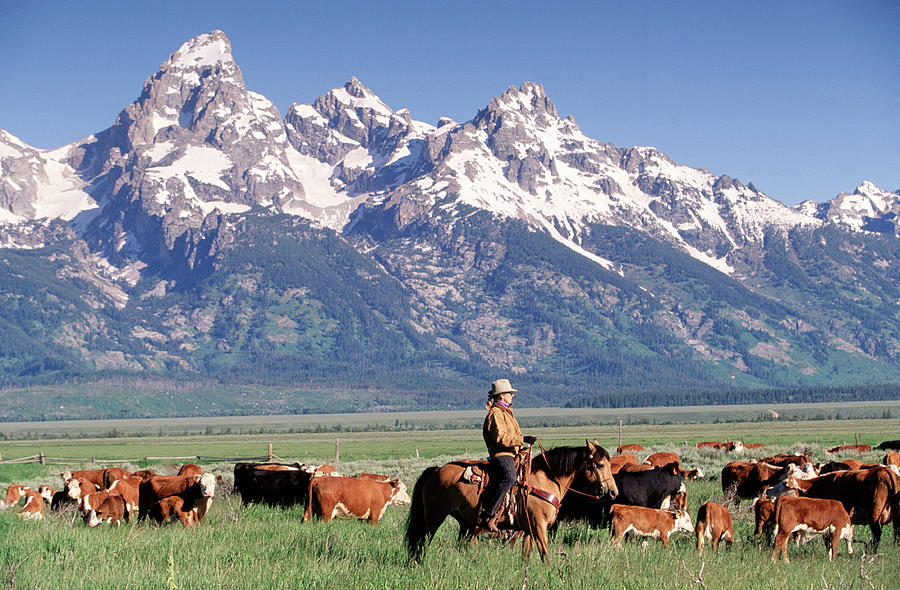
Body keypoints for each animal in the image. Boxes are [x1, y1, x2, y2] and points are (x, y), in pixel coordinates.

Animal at [404, 440, 616, 564]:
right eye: (599, 465)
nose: (613, 492)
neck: (546, 479)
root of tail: (436, 470)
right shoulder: (539, 526)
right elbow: (545, 555)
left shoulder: (529, 529)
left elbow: (527, 556)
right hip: (434, 517)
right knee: (422, 542)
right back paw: (418, 564)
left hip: (466, 524)